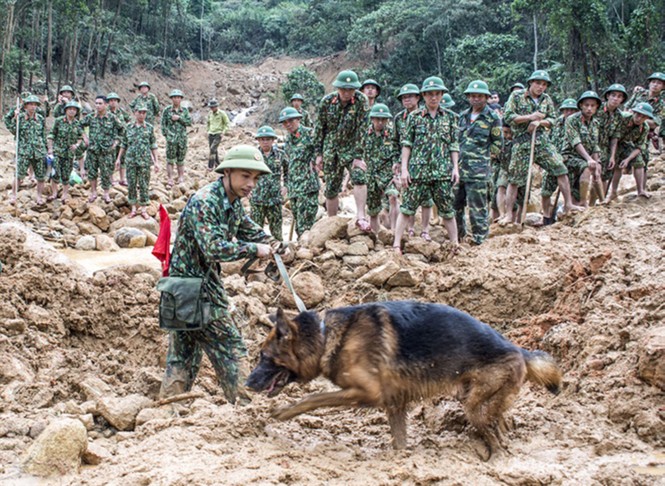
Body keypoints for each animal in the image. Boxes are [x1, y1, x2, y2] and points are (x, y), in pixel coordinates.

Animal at [245, 300, 560, 460]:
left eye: (264, 356)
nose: (247, 384)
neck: (325, 336)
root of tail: (518, 349)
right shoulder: (393, 403)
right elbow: (399, 440)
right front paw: (401, 461)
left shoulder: (365, 393)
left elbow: (314, 398)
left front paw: (283, 412)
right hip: (481, 397)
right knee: (500, 423)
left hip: (473, 405)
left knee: (494, 434)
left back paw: (496, 458)